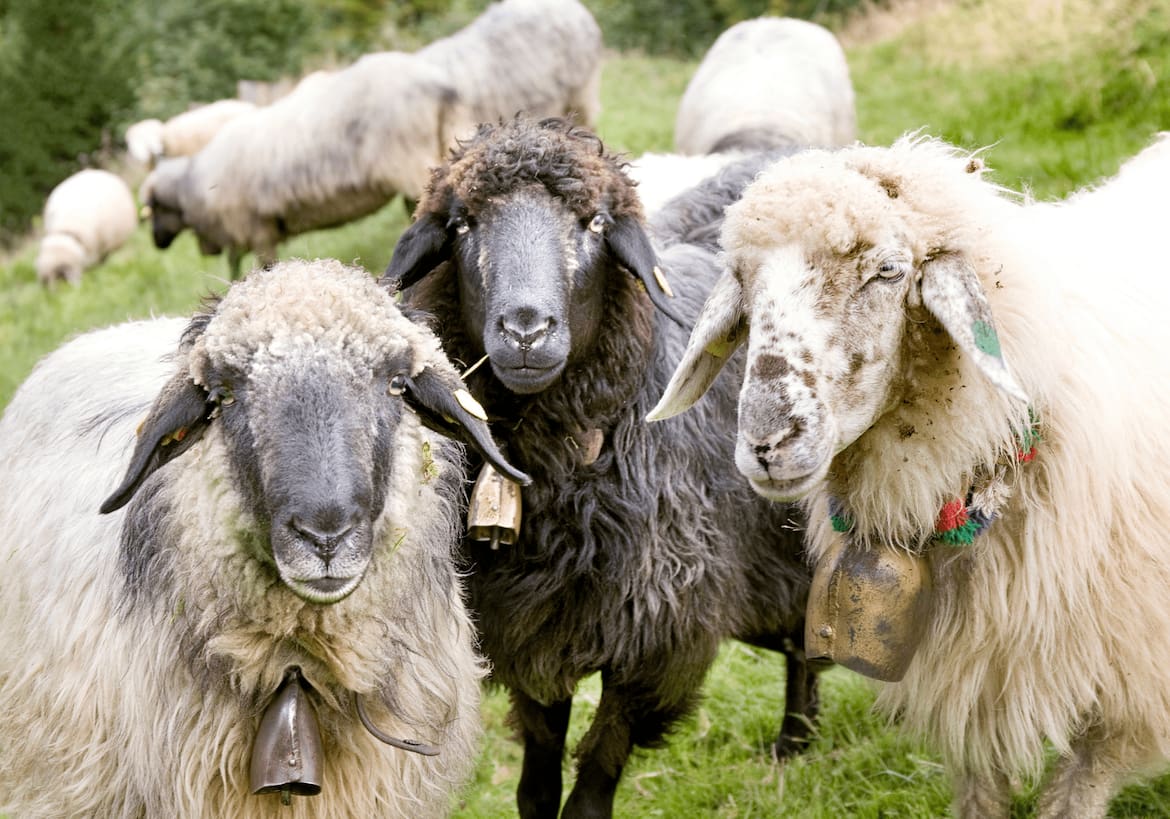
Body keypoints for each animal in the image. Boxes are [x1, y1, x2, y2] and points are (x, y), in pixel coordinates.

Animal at [383, 116, 817, 818]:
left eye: (593, 223)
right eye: (463, 224)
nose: (525, 330)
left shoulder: (653, 638)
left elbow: (593, 786)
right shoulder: (528, 624)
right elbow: (537, 780)